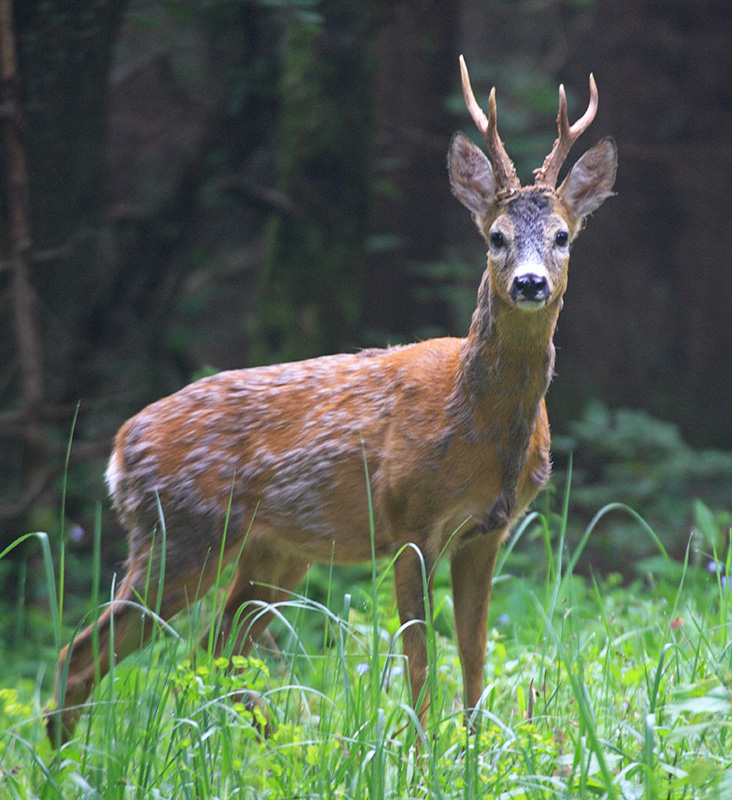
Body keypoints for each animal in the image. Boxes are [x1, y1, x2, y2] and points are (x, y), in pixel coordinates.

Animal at [47, 56, 616, 744]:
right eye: (496, 237)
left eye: (562, 236)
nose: (530, 283)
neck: (475, 423)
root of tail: (121, 448)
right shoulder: (409, 519)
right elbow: (420, 658)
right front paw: (419, 752)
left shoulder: (488, 531)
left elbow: (474, 658)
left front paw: (473, 750)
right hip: (179, 532)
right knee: (85, 650)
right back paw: (67, 760)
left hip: (272, 550)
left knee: (213, 649)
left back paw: (279, 741)